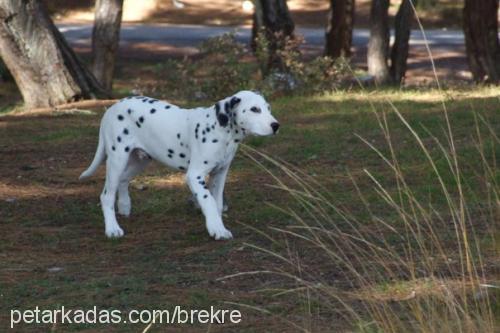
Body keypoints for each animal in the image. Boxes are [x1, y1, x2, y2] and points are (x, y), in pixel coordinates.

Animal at [80, 91, 280, 240]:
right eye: (254, 109)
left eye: (268, 108)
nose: (276, 125)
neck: (220, 130)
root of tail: (112, 108)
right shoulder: (195, 175)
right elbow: (208, 200)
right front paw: (217, 229)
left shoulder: (220, 173)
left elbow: (217, 202)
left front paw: (218, 223)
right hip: (117, 159)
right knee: (106, 195)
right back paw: (112, 229)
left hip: (140, 160)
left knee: (123, 180)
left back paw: (124, 206)